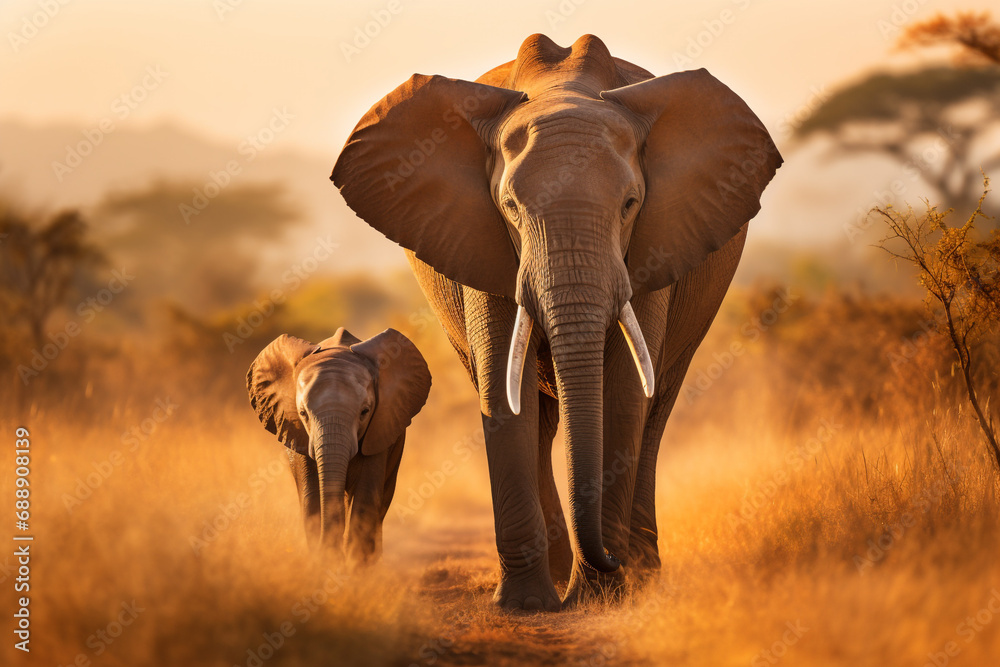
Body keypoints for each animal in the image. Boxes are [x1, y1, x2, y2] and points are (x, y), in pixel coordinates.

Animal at [246, 327, 431, 565]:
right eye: (303, 413)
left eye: (365, 412)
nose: (334, 555)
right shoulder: (299, 435)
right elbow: (310, 496)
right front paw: (325, 565)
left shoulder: (380, 428)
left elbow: (366, 496)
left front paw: (355, 570)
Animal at [331, 34, 781, 609]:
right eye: (510, 207)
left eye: (630, 204)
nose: (609, 559)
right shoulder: (481, 240)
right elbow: (504, 389)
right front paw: (528, 606)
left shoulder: (653, 246)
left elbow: (624, 392)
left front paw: (601, 598)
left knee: (656, 411)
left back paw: (637, 574)